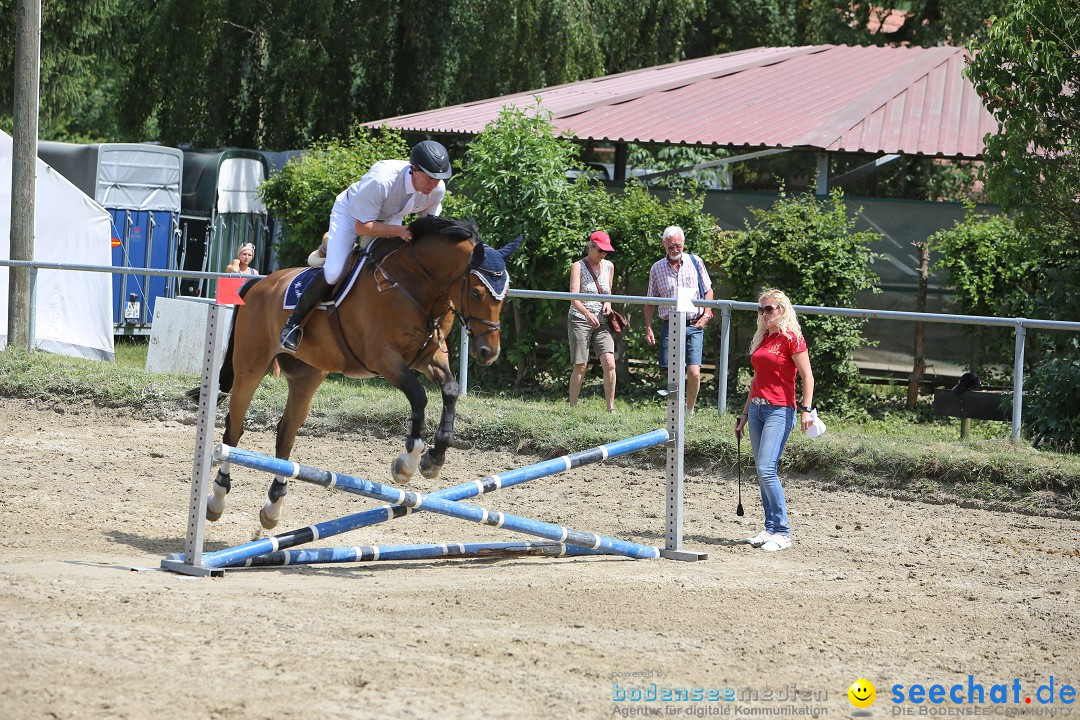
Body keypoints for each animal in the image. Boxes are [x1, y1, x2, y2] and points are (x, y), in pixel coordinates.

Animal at [207, 215, 522, 528]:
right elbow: (418, 395)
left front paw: (434, 459)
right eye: (477, 293)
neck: (416, 283)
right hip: (251, 366)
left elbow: (451, 390)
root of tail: (260, 284)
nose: (489, 352)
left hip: (307, 375)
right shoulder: (384, 358)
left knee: (285, 433)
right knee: (234, 430)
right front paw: (407, 463)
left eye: (505, 293)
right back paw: (217, 498)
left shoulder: (429, 357)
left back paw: (273, 506)